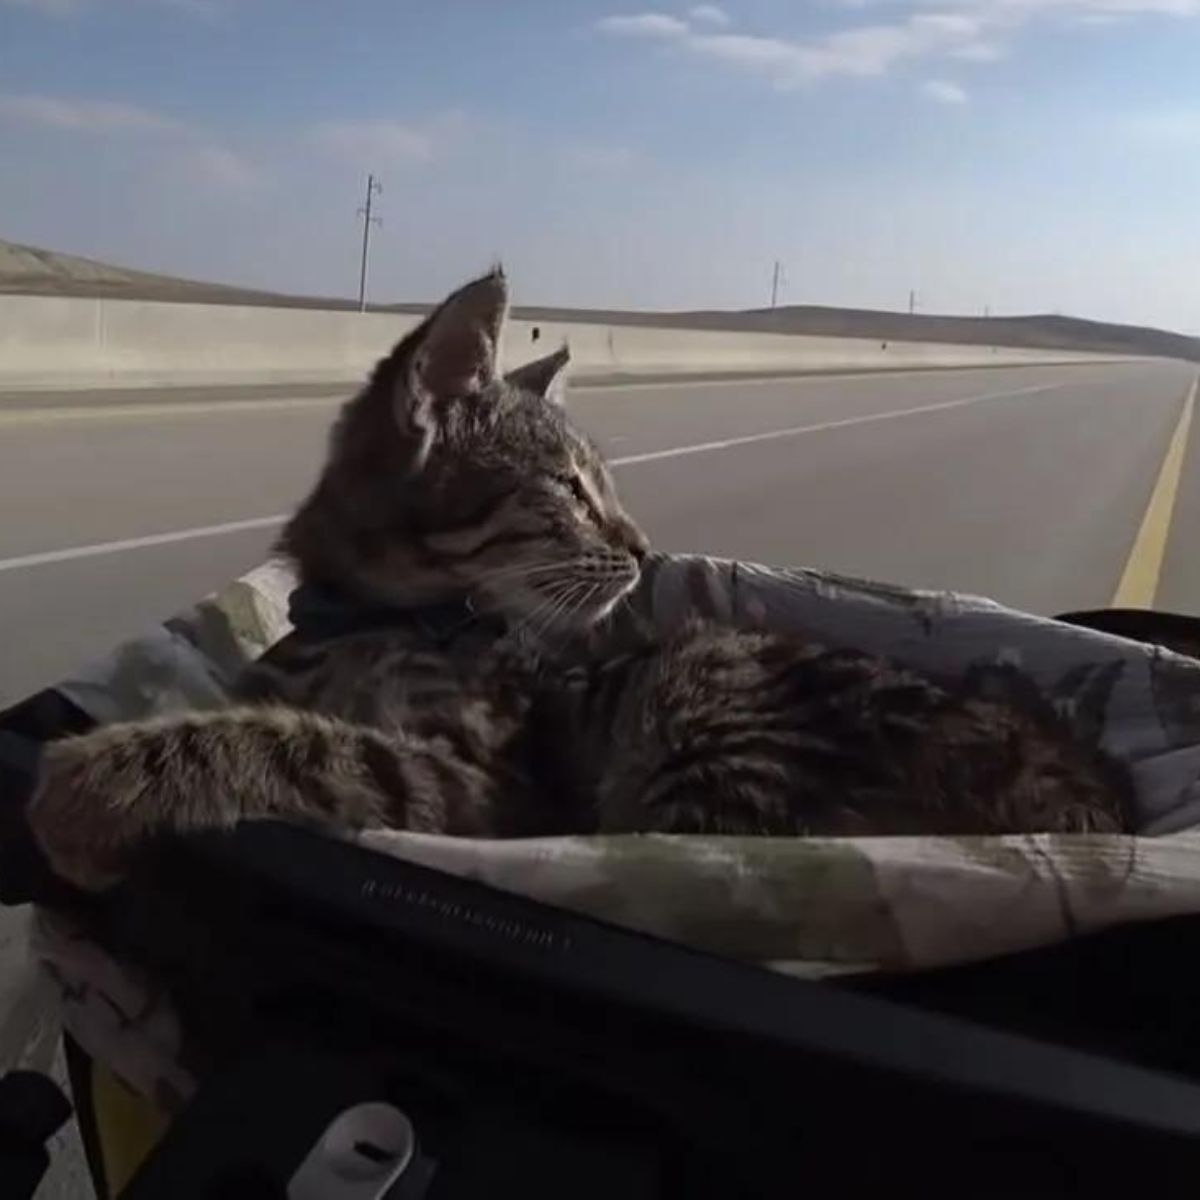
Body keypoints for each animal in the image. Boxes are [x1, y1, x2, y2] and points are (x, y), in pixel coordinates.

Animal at [28, 274, 1132, 892]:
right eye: (569, 487)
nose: (644, 547)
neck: (369, 616)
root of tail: (1092, 805)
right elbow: (272, 718)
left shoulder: (493, 786)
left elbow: (298, 743)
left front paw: (89, 783)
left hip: (704, 714)